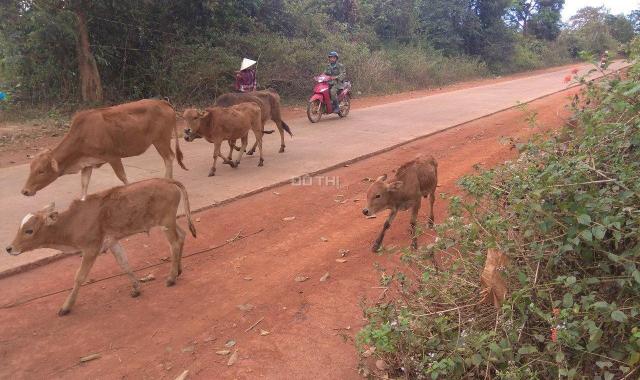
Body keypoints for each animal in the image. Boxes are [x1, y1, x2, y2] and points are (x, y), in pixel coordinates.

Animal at [6, 180, 196, 316]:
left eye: (29, 230)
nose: (9, 248)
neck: (73, 222)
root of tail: (167, 180)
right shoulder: (112, 242)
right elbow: (124, 264)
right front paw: (136, 288)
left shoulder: (91, 249)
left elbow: (79, 277)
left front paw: (66, 307)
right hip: (170, 223)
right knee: (182, 235)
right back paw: (178, 270)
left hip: (166, 222)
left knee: (175, 243)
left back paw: (171, 277)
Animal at [20, 99, 189, 200]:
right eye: (31, 169)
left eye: (41, 171)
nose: (25, 191)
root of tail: (163, 102)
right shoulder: (87, 164)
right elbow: (84, 184)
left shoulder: (113, 157)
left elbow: (123, 178)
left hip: (161, 140)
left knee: (169, 158)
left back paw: (167, 180)